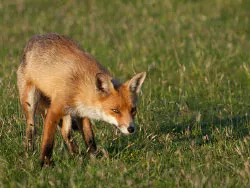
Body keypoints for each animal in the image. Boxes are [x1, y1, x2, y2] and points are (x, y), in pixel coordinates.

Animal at [16, 33, 146, 166]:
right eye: (115, 110)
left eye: (133, 110)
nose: (131, 129)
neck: (81, 85)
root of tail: (34, 38)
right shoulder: (54, 111)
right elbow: (48, 141)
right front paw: (45, 163)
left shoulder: (81, 113)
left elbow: (89, 138)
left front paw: (95, 158)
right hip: (30, 102)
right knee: (31, 128)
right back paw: (29, 151)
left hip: (68, 113)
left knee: (66, 133)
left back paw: (76, 154)